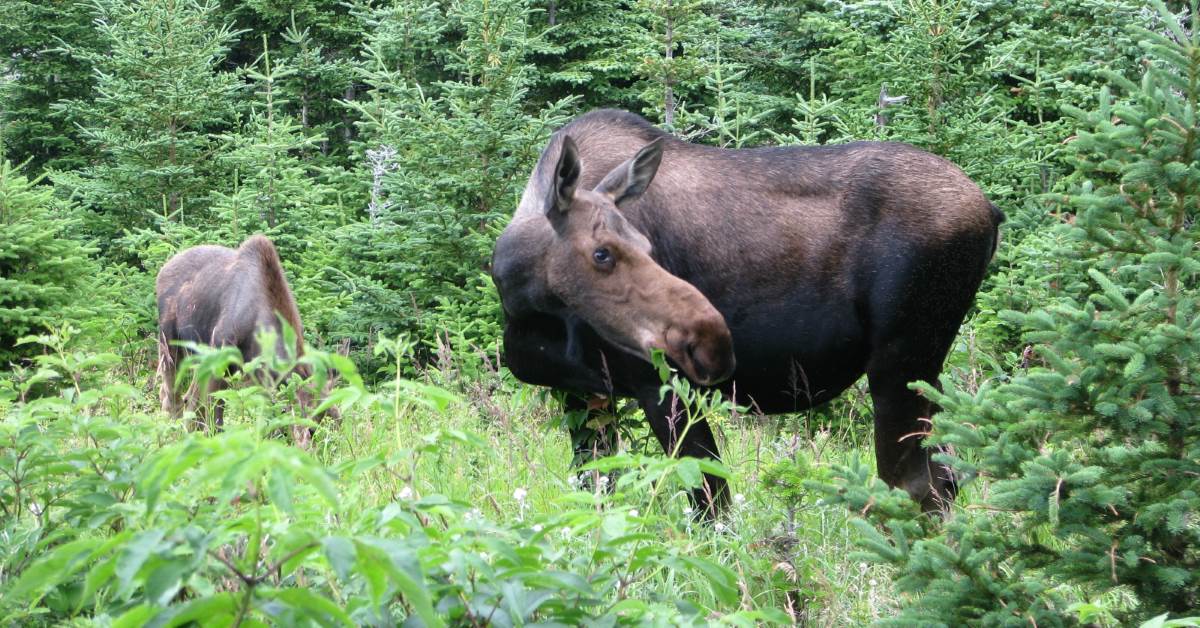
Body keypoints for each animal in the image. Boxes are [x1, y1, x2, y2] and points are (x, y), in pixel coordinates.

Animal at [157, 232, 338, 434]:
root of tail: (163, 269)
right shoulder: (220, 353)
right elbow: (215, 410)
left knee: (188, 397)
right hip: (169, 343)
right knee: (171, 394)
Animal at [489, 110, 1003, 513]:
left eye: (647, 245)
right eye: (602, 253)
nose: (711, 341)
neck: (523, 301)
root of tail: (992, 212)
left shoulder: (660, 385)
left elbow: (711, 503)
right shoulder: (582, 393)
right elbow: (596, 492)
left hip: (901, 362)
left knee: (915, 485)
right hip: (927, 370)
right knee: (948, 478)